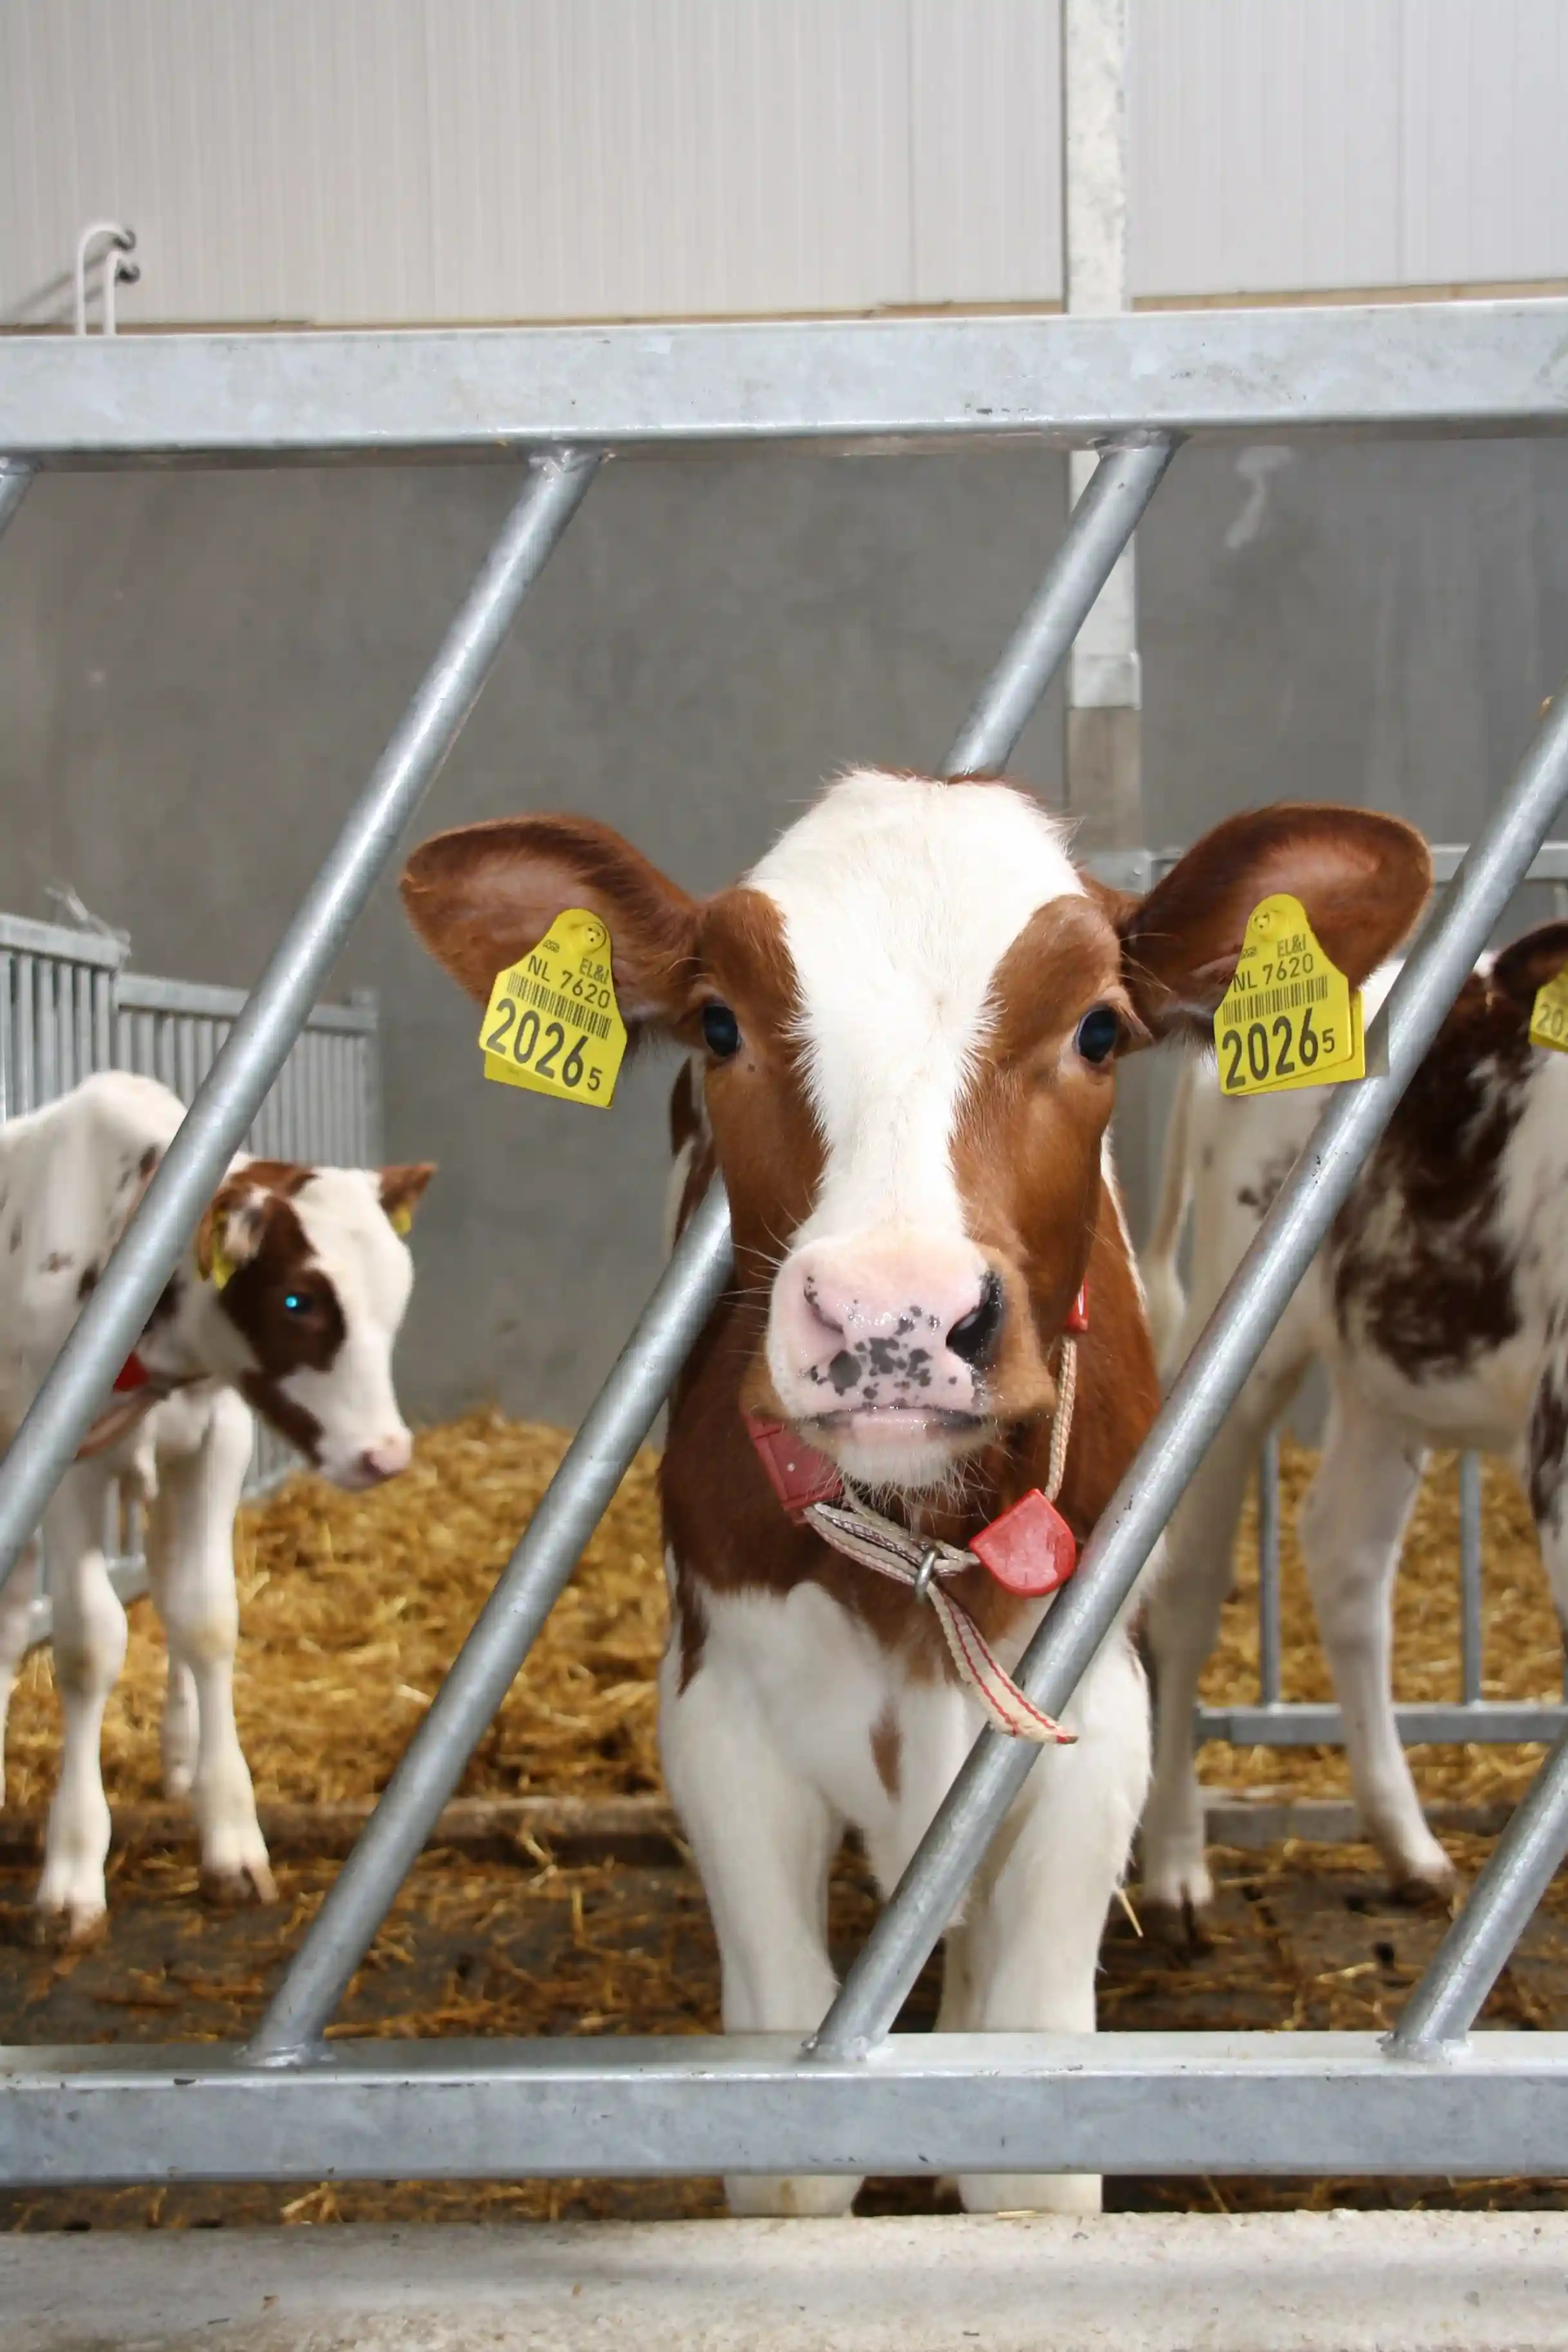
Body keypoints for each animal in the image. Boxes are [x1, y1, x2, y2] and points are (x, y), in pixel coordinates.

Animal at [0, 1070, 432, 1938]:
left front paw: (230, 1833)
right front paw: (71, 1872)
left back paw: (179, 1757)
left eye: (396, 1297)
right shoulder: (62, 1456)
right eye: (299, 1301)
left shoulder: (218, 1438)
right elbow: (89, 1643)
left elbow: (205, 1618)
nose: (386, 1455)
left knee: (166, 1583)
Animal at [402, 770, 1428, 2215]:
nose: (892, 1314)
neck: (913, 1553)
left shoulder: (1080, 1731)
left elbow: (1026, 2130)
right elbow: (788, 2148)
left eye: (1098, 1028)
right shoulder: (720, 1720)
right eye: (719, 1022)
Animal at [1137, 926, 1568, 1923]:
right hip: (1240, 1344)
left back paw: (1408, 1844)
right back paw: (1175, 1865)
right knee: (1187, 1595)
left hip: (1384, 1375)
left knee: (1343, 1550)